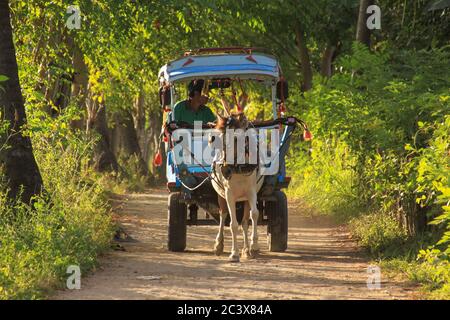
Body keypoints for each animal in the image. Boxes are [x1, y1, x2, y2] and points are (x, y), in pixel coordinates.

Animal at [210, 112, 264, 262]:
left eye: (236, 138)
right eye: (218, 139)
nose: (225, 170)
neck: (239, 167)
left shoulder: (251, 192)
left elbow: (254, 214)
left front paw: (254, 246)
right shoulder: (229, 194)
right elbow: (233, 224)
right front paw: (234, 253)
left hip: (245, 198)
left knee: (245, 222)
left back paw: (246, 250)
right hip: (221, 196)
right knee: (222, 215)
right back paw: (219, 244)